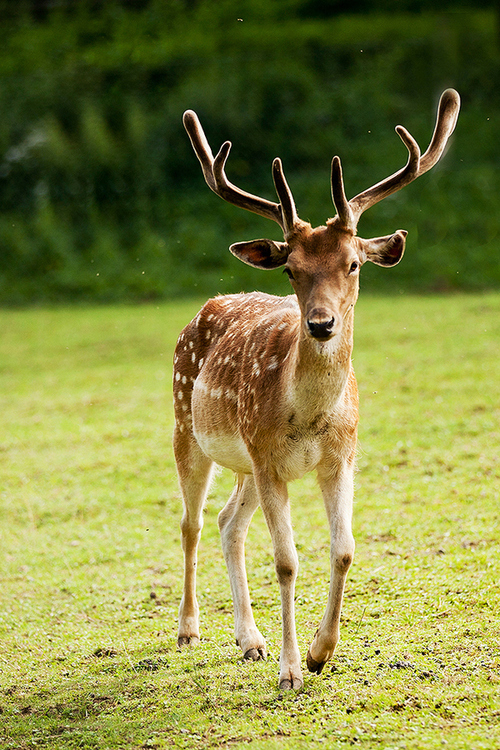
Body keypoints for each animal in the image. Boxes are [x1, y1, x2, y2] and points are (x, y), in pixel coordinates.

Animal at [174, 89, 458, 692]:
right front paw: (290, 672)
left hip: (246, 462)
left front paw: (319, 653)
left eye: (353, 263)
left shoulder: (340, 455)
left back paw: (250, 640)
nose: (321, 324)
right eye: (292, 270)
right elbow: (286, 561)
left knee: (228, 523)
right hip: (188, 426)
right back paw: (189, 631)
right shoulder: (269, 459)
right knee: (192, 522)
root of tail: (205, 307)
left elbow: (344, 550)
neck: (306, 418)